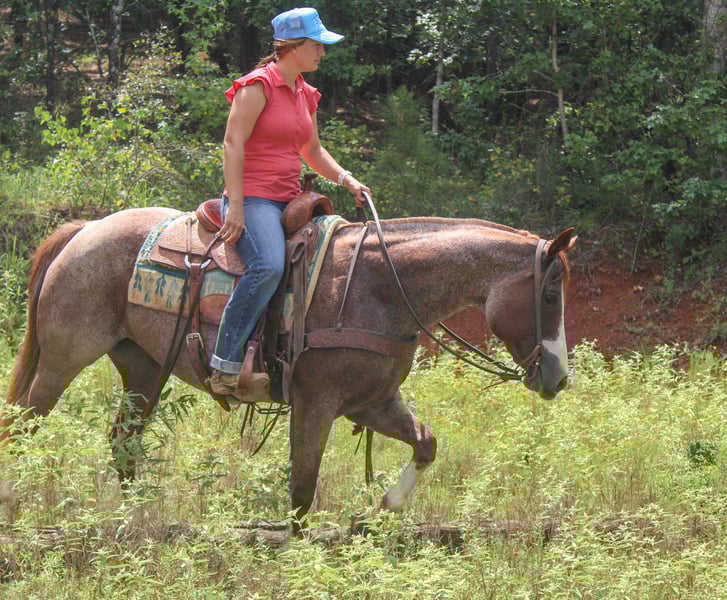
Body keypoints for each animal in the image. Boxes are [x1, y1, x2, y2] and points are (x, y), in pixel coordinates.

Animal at [1, 206, 576, 528]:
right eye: (550, 295)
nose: (558, 378)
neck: (381, 287)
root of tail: (85, 229)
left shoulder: (372, 404)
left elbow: (426, 443)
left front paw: (385, 506)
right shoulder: (315, 404)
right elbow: (301, 490)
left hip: (142, 367)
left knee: (123, 441)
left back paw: (132, 518)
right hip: (62, 359)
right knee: (20, 426)